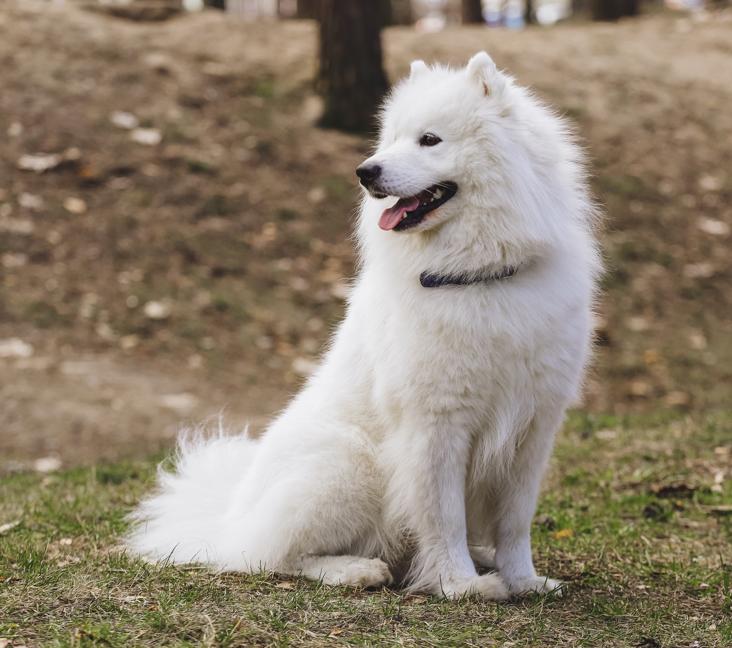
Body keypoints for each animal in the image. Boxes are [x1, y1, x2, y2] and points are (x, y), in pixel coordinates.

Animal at [127, 53, 600, 600]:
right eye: (390, 139)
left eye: (429, 139)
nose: (364, 171)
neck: (479, 274)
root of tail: (227, 520)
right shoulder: (436, 426)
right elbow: (444, 518)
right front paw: (460, 585)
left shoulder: (534, 427)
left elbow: (515, 521)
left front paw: (523, 580)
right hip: (348, 467)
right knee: (272, 555)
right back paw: (356, 569)